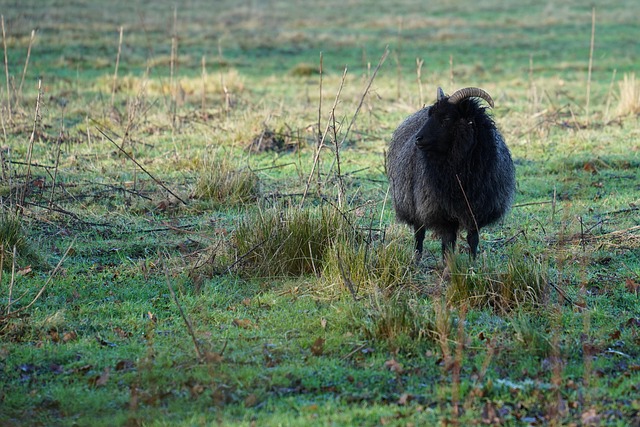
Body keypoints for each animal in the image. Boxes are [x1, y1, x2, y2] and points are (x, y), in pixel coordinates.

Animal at [386, 87, 515, 260]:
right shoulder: (442, 212)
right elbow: (447, 243)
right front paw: (448, 264)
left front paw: (473, 263)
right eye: (430, 116)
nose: (418, 139)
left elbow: (473, 239)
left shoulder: (477, 210)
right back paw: (417, 259)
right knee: (419, 234)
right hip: (412, 204)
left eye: (447, 118)